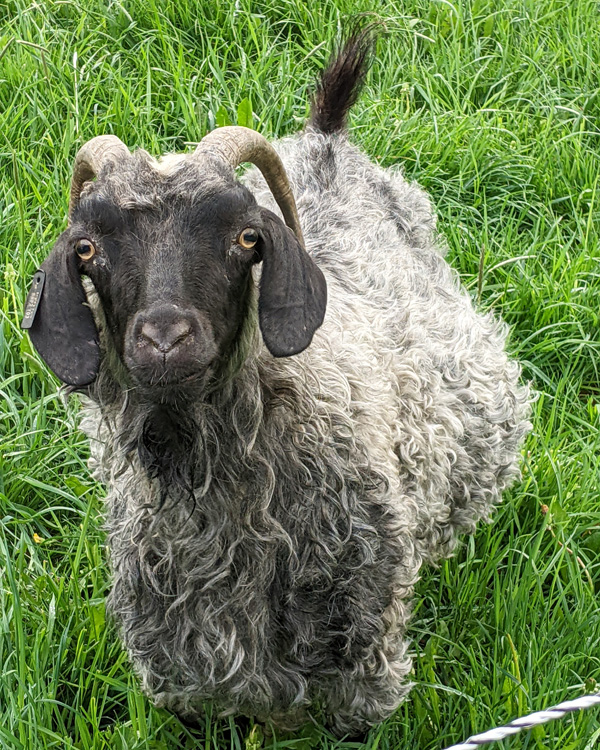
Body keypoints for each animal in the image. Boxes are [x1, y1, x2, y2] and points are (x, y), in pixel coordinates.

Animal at [23, 31, 530, 736]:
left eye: (245, 237)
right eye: (89, 249)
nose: (164, 338)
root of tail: (326, 140)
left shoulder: (361, 647)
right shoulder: (181, 663)